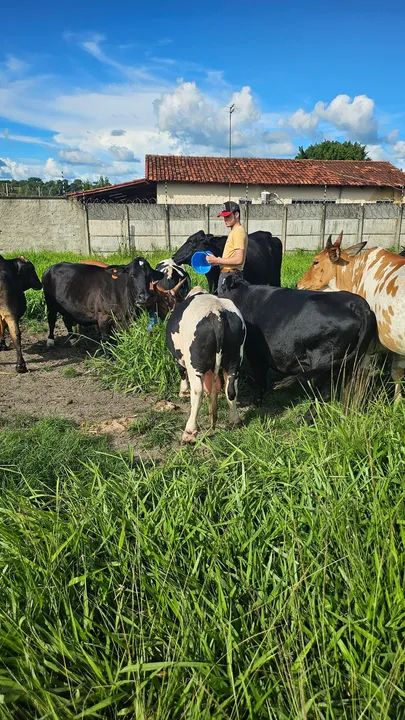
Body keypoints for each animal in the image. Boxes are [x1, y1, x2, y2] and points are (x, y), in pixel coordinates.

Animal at [166, 287, 246, 443]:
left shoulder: (179, 358)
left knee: (197, 392)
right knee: (231, 389)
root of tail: (217, 311)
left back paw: (189, 432)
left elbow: (182, 372)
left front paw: (183, 392)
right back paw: (234, 420)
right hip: (235, 359)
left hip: (195, 364)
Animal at [219, 273, 377, 406]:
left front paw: (257, 401)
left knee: (324, 394)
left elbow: (260, 379)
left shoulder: (255, 353)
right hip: (349, 363)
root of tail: (357, 304)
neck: (242, 296)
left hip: (325, 361)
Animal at [297, 232, 405, 401]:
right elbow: (397, 374)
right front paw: (397, 403)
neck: (356, 276)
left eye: (315, 261)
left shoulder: (367, 346)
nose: (298, 284)